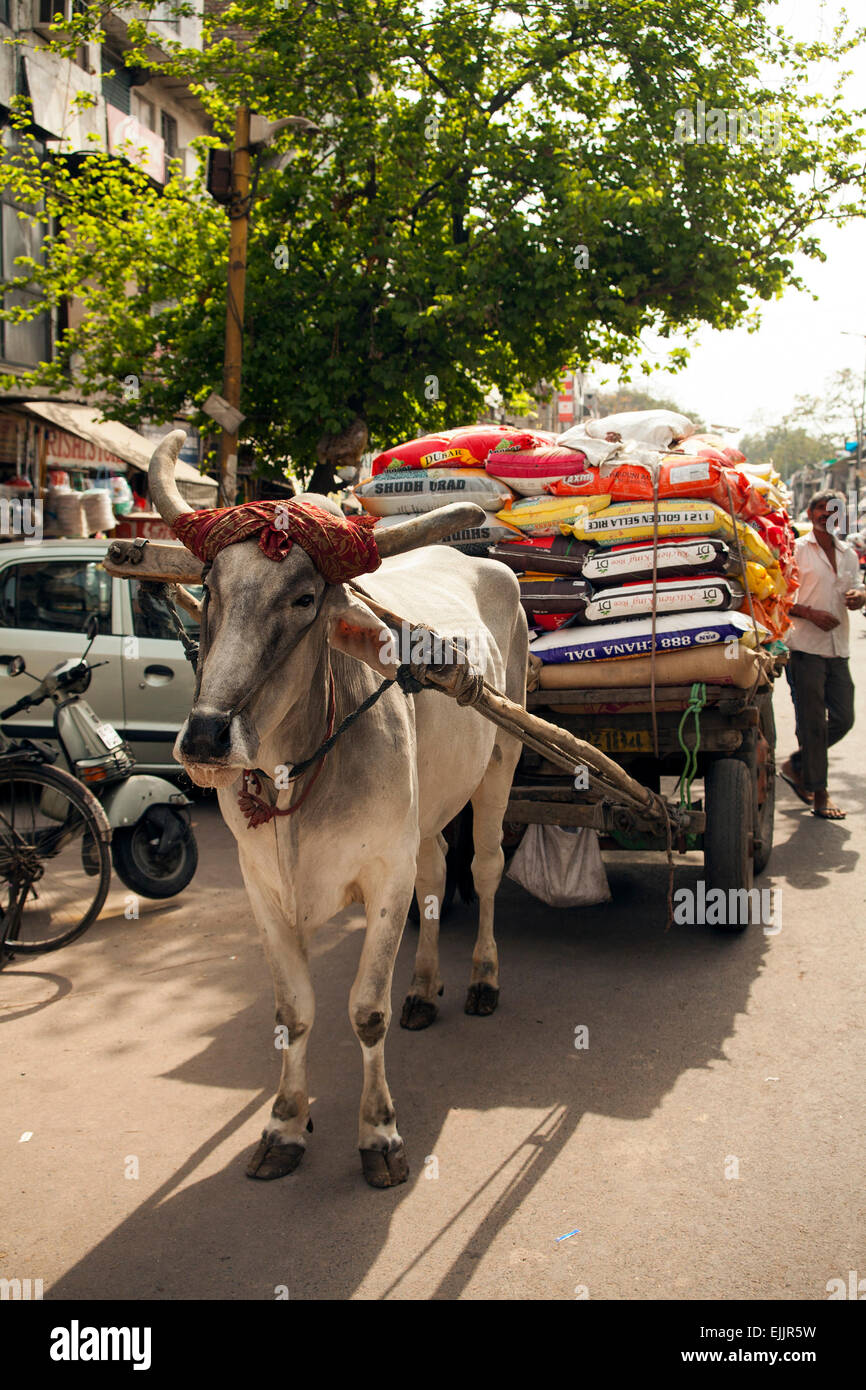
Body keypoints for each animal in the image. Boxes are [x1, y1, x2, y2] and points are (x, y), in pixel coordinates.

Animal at [150, 430, 528, 1184]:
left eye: (303, 599)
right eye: (209, 589)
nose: (203, 738)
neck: (296, 779)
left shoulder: (383, 879)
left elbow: (365, 1012)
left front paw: (379, 1134)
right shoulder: (262, 885)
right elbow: (294, 1013)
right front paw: (285, 1126)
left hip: (501, 760)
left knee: (486, 869)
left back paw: (482, 978)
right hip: (428, 810)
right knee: (438, 874)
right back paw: (424, 989)